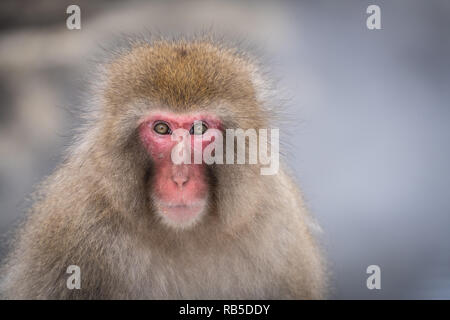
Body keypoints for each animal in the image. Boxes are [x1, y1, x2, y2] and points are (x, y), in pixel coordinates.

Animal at [0, 37, 326, 300]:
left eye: (198, 128)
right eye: (161, 128)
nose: (179, 178)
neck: (184, 235)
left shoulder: (281, 226)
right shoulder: (68, 229)